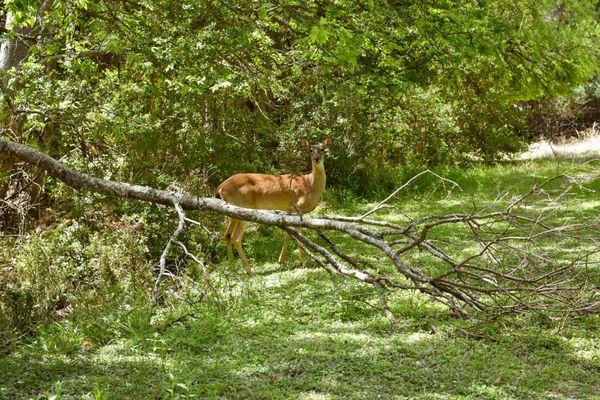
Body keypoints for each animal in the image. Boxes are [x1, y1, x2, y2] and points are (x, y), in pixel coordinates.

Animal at [216, 137, 336, 276]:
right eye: (310, 149)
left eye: (322, 149)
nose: (317, 158)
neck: (309, 185)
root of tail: (221, 187)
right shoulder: (297, 207)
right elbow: (298, 236)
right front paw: (302, 263)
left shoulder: (290, 210)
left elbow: (289, 234)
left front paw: (281, 261)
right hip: (242, 207)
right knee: (236, 237)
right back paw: (249, 271)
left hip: (231, 211)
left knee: (227, 234)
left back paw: (234, 269)